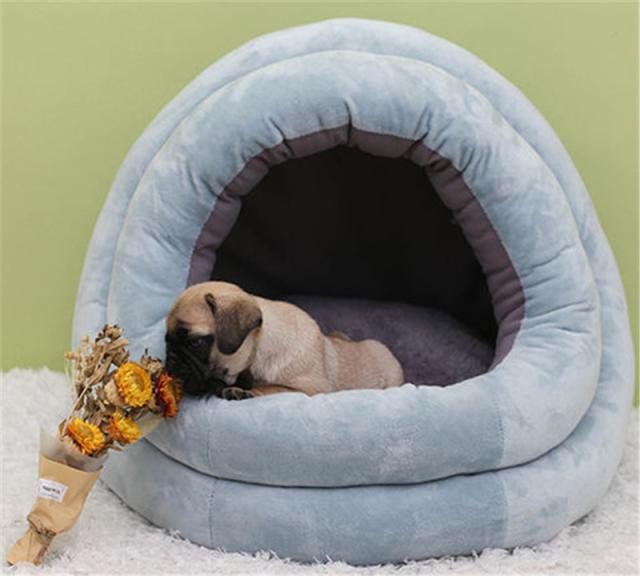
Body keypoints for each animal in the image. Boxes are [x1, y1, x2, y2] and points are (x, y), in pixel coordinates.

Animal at [165, 281, 404, 399]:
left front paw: (244, 391)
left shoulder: (309, 390)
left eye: (195, 343)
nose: (171, 358)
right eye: (167, 341)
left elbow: (272, 388)